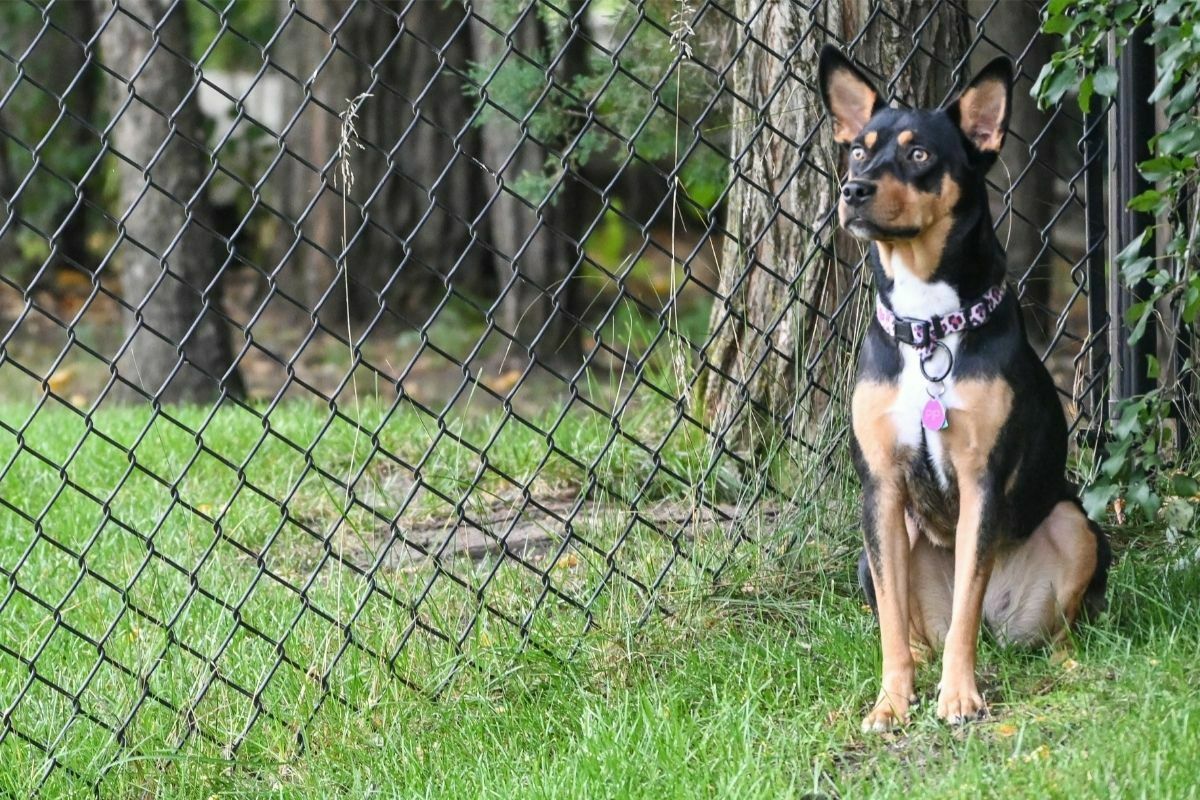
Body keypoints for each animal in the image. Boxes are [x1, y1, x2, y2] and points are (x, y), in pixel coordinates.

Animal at [816, 45, 1113, 734]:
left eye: (921, 154)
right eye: (858, 151)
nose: (853, 191)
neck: (929, 325)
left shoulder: (983, 478)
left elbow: (965, 611)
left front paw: (958, 698)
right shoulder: (880, 487)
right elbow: (894, 626)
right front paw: (892, 702)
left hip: (1076, 524)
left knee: (1048, 629)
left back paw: (1068, 664)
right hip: (872, 554)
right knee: (912, 625)